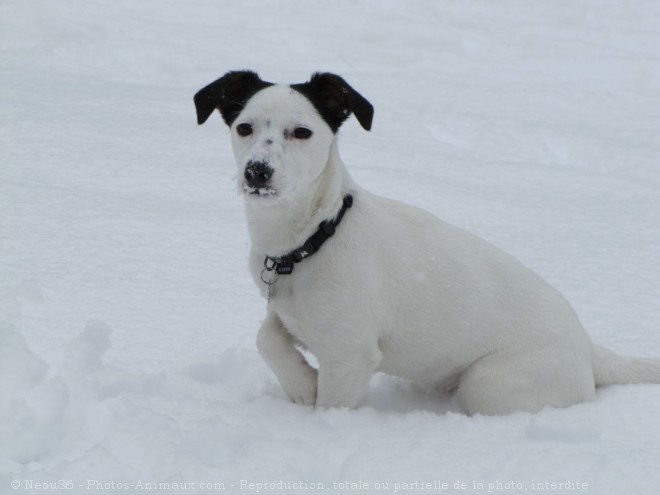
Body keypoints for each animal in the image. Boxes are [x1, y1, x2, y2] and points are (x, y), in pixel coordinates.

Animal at [195, 71, 660, 416]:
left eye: (302, 132)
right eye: (244, 128)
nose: (257, 171)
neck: (313, 237)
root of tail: (589, 348)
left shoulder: (350, 355)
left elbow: (330, 407)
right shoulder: (285, 311)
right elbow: (265, 337)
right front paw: (300, 384)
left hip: (489, 383)